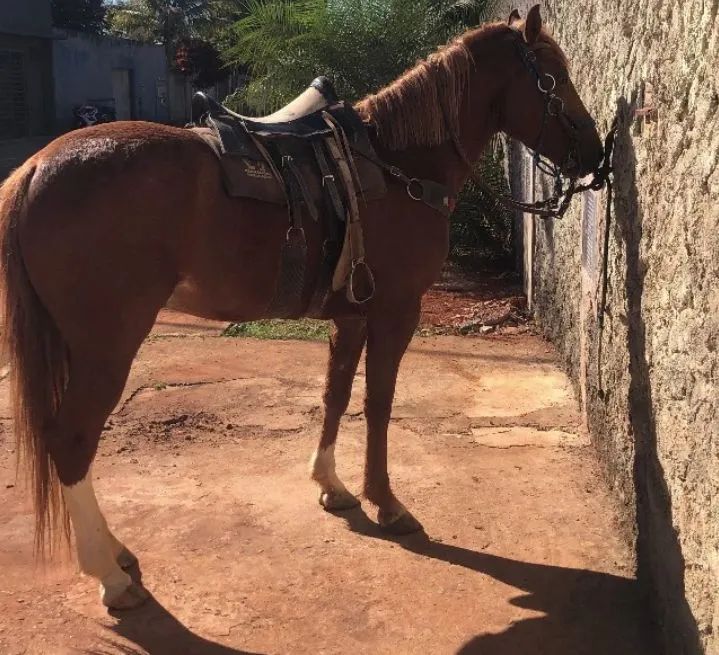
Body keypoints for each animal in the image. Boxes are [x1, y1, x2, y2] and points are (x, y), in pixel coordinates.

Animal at [0, 6, 603, 610]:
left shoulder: (351, 316)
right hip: (108, 345)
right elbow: (378, 403)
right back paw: (110, 574)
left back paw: (117, 550)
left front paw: (332, 485)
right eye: (553, 77)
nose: (596, 153)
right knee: (72, 440)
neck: (396, 164)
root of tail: (35, 168)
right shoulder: (396, 311)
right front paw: (387, 502)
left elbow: (336, 395)